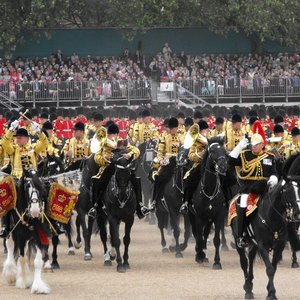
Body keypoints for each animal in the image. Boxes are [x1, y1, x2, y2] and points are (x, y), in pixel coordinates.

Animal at [190, 137, 227, 268]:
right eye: (212, 151)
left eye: (224, 151)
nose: (223, 167)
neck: (209, 192)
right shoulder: (199, 216)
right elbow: (199, 237)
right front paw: (199, 256)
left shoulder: (218, 216)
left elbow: (216, 239)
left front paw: (217, 262)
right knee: (197, 234)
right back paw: (199, 253)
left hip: (209, 219)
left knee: (205, 234)